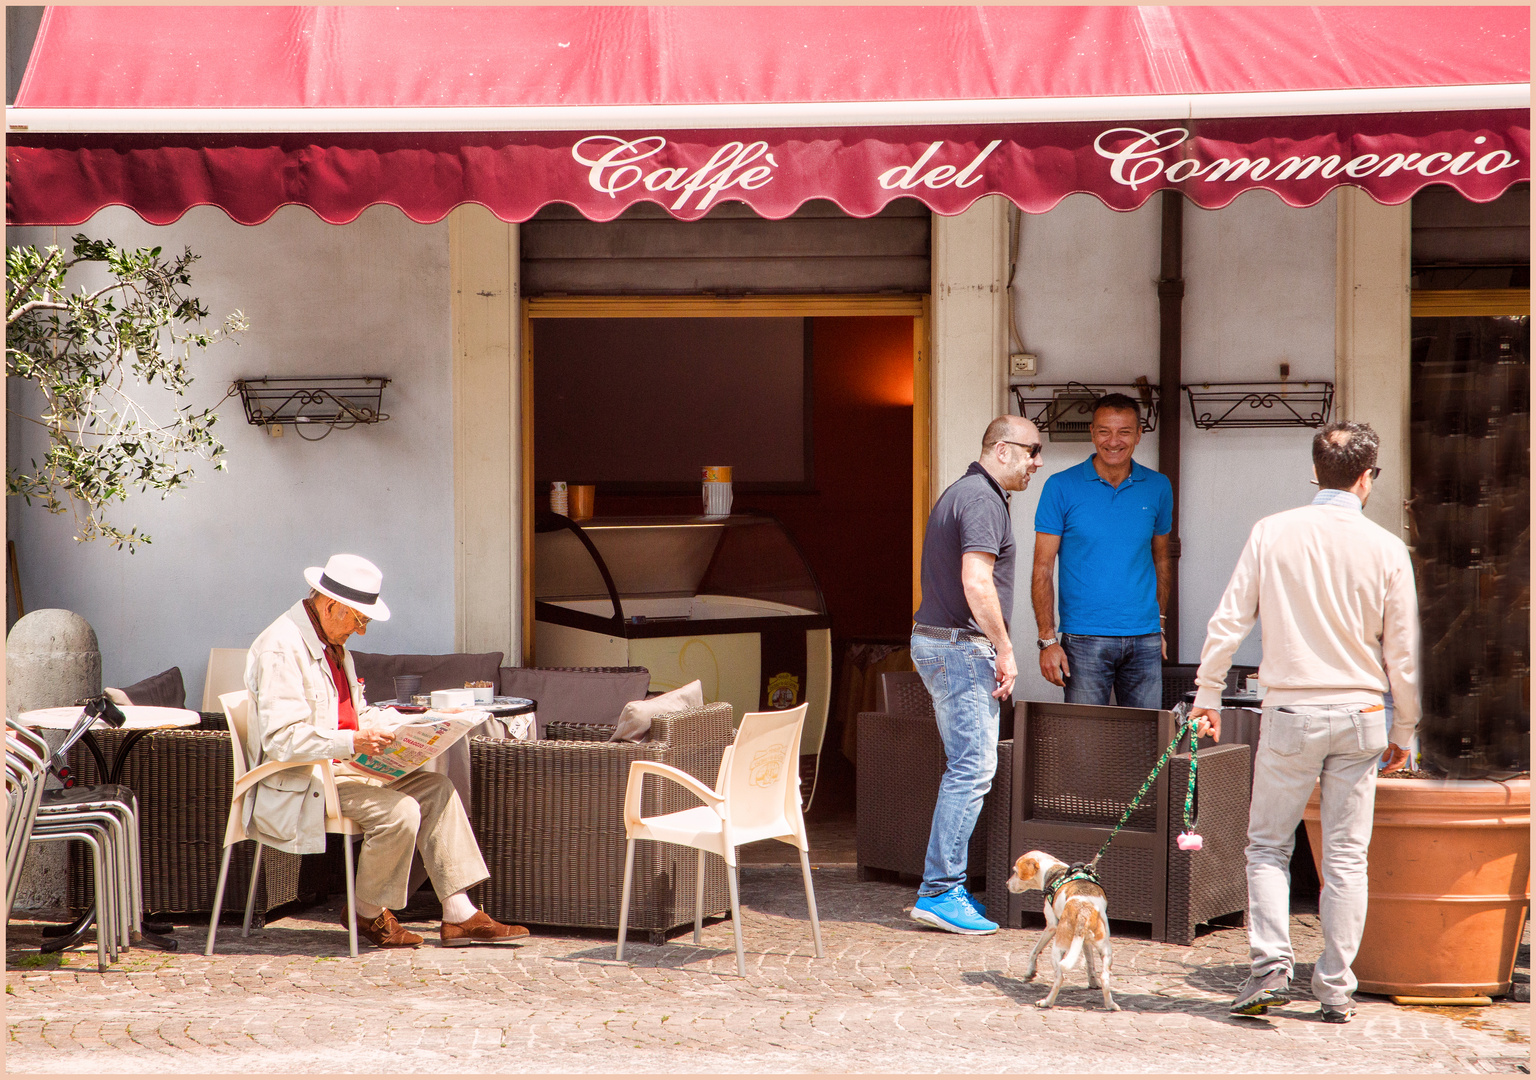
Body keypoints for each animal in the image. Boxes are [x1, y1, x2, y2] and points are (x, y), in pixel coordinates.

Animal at [1007, 854, 1118, 1013]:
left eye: (1015, 871)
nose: (1006, 884)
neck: (1056, 871)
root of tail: (1084, 910)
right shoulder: (1084, 943)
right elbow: (1090, 963)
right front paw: (1092, 982)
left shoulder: (1051, 926)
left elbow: (1034, 951)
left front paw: (1029, 973)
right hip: (1106, 950)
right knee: (1105, 978)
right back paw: (1110, 1005)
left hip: (1057, 949)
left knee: (1059, 978)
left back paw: (1046, 1002)